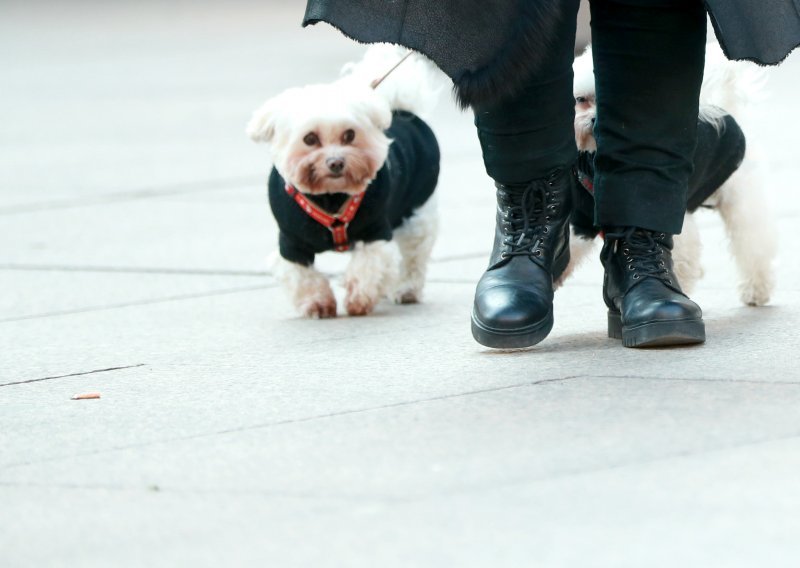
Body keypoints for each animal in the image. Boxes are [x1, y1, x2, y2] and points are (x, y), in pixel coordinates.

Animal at [247, 46, 440, 318]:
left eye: (349, 135)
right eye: (309, 138)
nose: (336, 162)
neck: (331, 196)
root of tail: (403, 111)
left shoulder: (376, 230)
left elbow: (369, 265)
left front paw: (359, 298)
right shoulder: (291, 243)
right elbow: (302, 276)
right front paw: (317, 303)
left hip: (416, 212)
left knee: (414, 255)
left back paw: (406, 289)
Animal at [564, 42, 776, 306]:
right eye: (581, 100)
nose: (594, 121)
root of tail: (726, 112)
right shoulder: (582, 218)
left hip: (740, 199)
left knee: (753, 244)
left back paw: (756, 289)